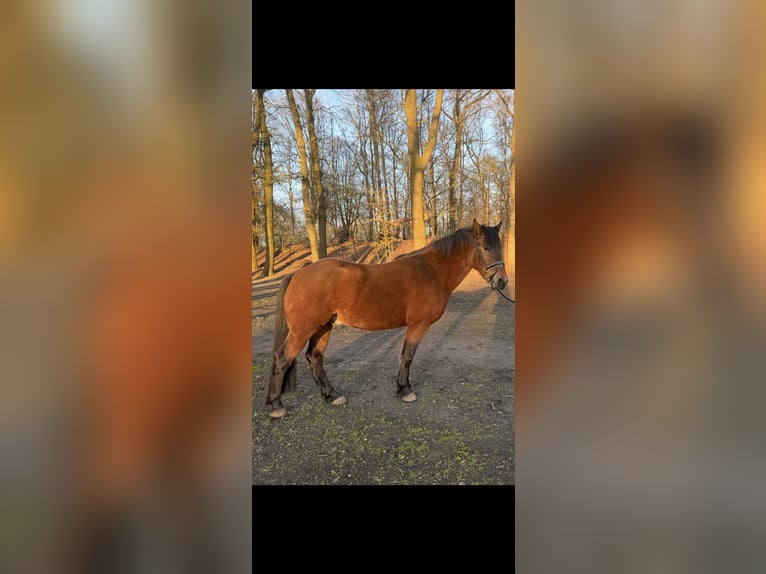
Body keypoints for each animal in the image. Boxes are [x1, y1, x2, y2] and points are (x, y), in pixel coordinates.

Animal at [265, 219, 510, 418]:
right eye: (485, 248)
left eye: (500, 248)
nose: (502, 281)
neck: (431, 270)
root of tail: (298, 273)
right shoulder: (418, 325)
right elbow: (407, 356)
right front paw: (405, 390)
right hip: (303, 330)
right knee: (283, 358)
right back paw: (277, 405)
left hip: (323, 327)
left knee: (315, 358)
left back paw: (331, 395)